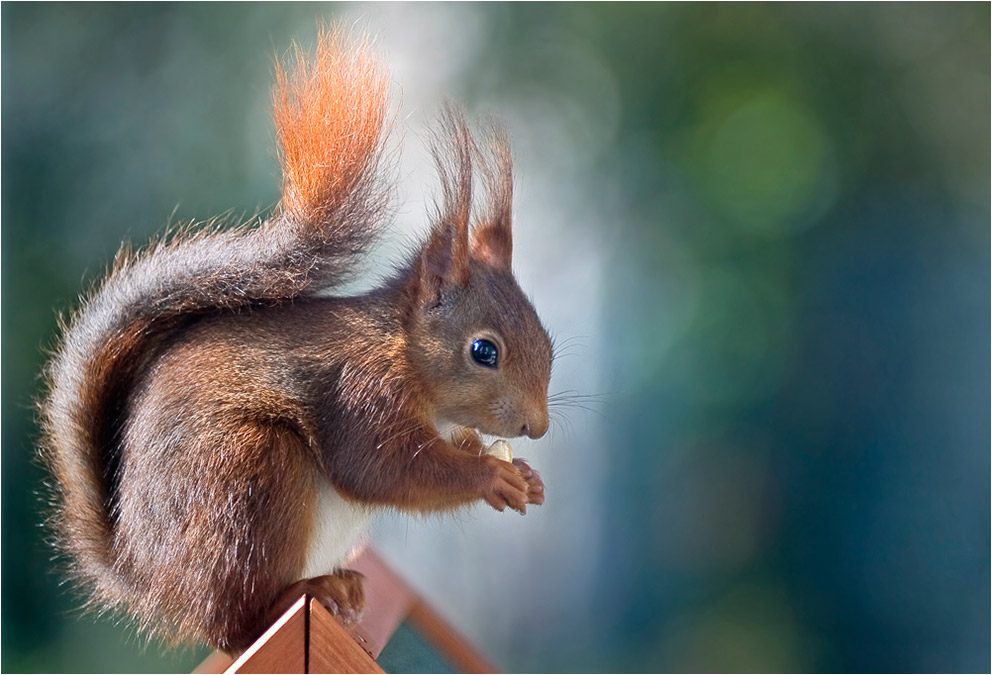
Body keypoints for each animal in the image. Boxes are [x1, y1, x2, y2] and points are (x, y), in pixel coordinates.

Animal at [38, 30, 552, 656]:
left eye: (545, 337)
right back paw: (303, 590)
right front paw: (491, 477)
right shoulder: (360, 393)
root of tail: (145, 576)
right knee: (233, 625)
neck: (401, 352)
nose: (538, 426)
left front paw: (521, 472)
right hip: (248, 477)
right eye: (484, 351)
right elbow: (382, 469)